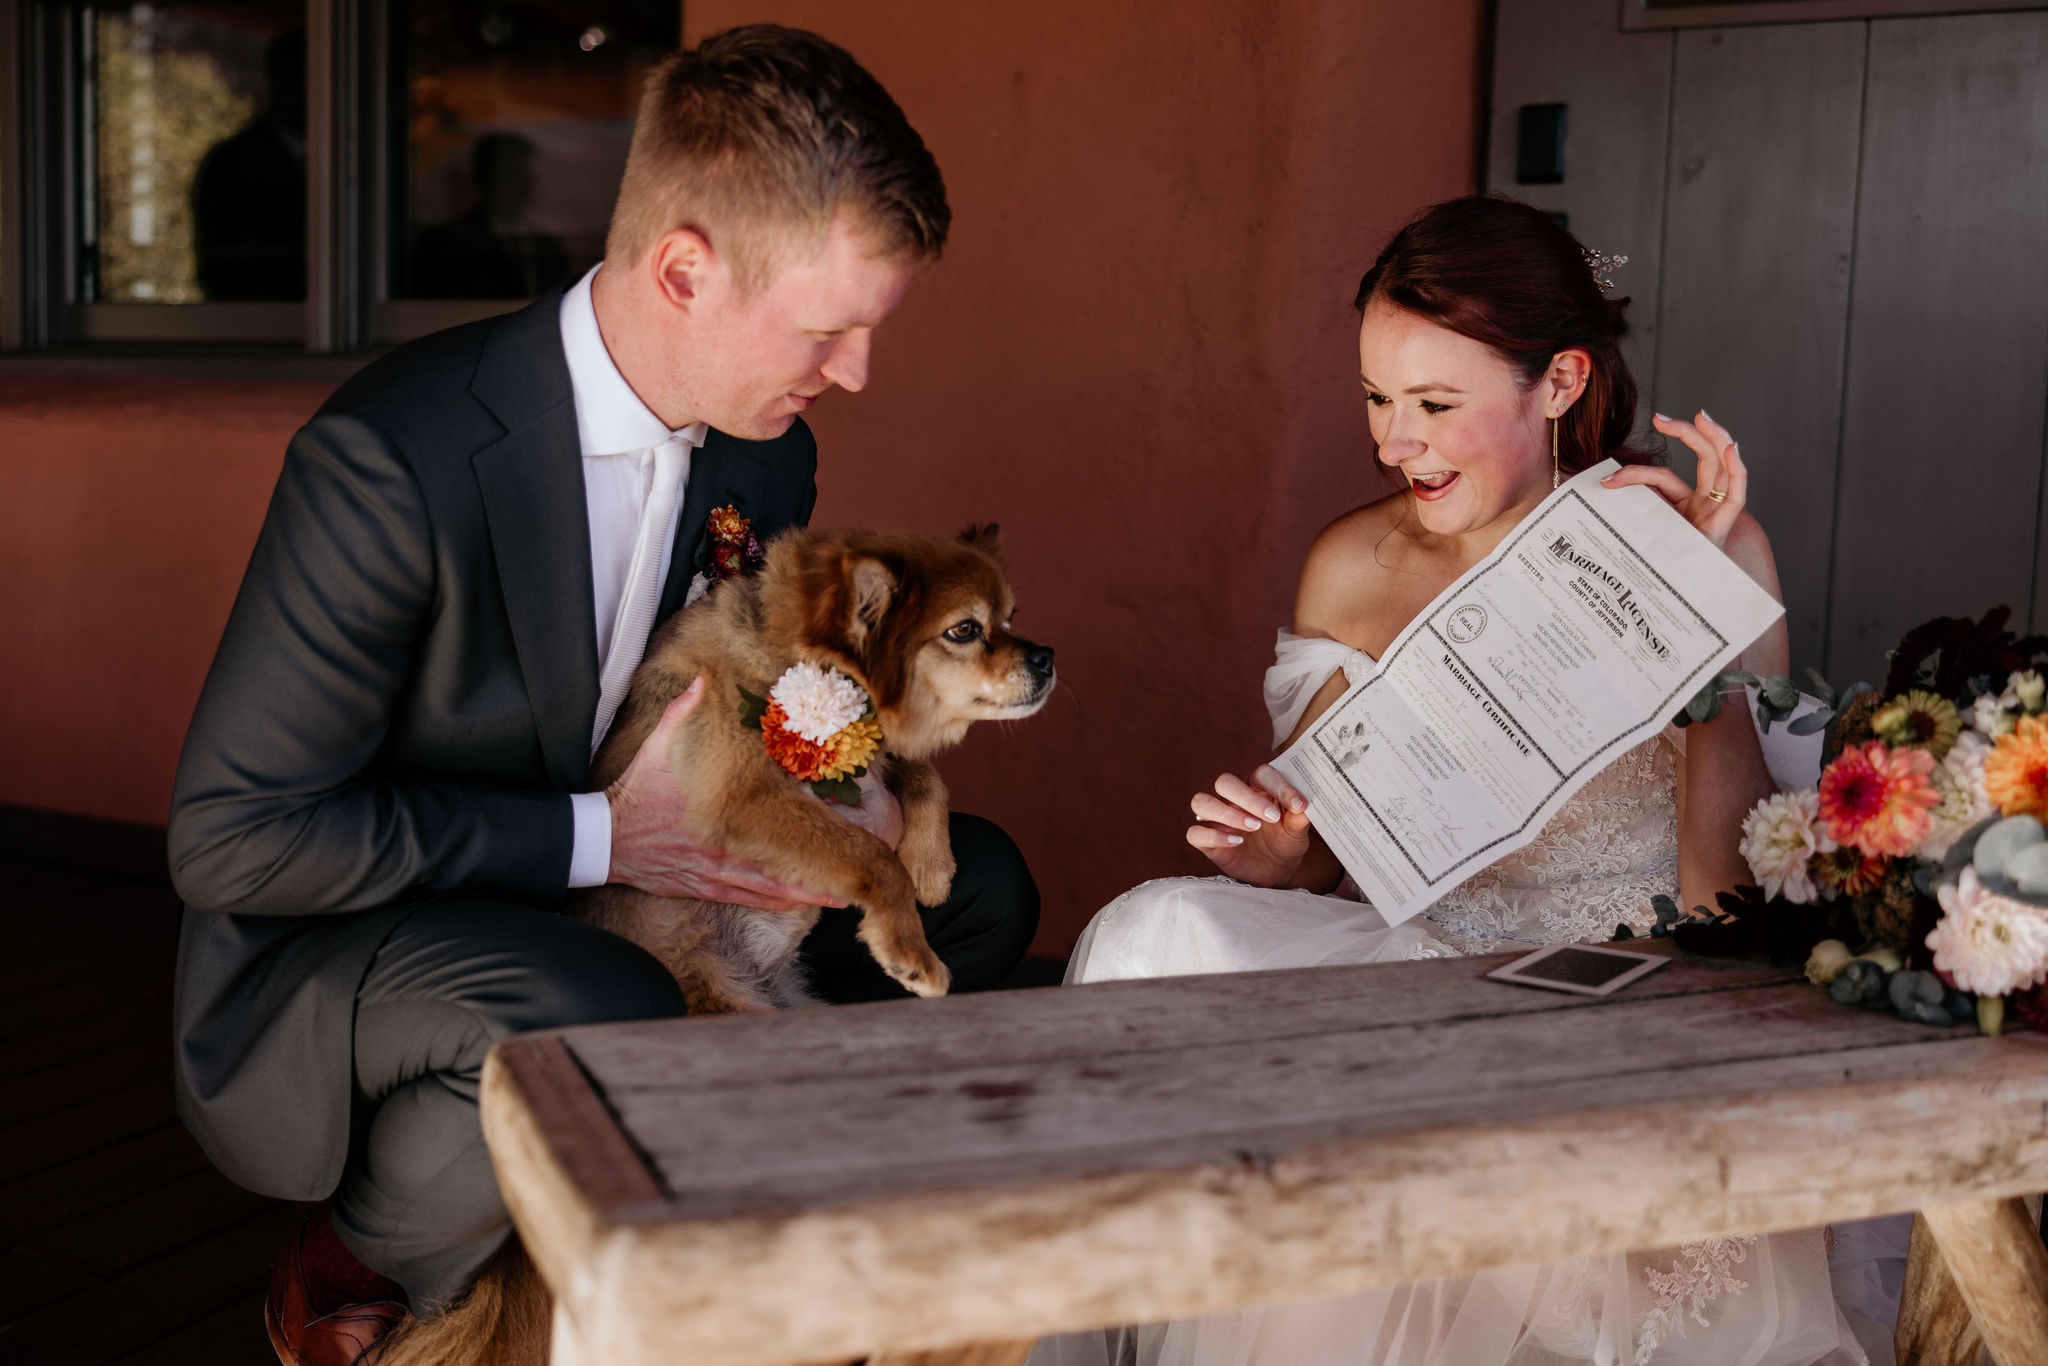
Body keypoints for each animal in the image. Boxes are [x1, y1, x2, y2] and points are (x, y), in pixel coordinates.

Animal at [573, 524, 1056, 1015]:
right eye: (964, 630)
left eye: (1011, 617)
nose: (1046, 657)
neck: (789, 655)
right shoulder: (743, 797)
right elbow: (876, 858)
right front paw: (909, 948)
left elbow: (925, 777)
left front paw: (929, 863)